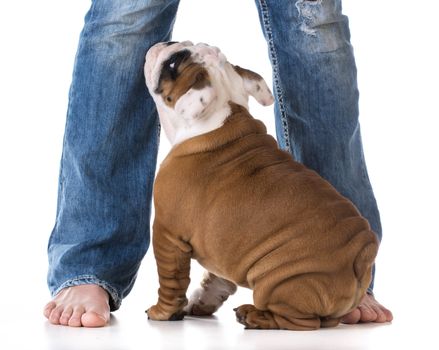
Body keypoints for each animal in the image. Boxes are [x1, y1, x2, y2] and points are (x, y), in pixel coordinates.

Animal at [144, 41, 378, 330]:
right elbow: (216, 280)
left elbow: (171, 281)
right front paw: (200, 304)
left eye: (174, 63)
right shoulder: (223, 247)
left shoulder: (166, 234)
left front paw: (162, 312)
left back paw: (253, 315)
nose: (169, 43)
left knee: (300, 322)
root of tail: (360, 255)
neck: (220, 116)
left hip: (279, 282)